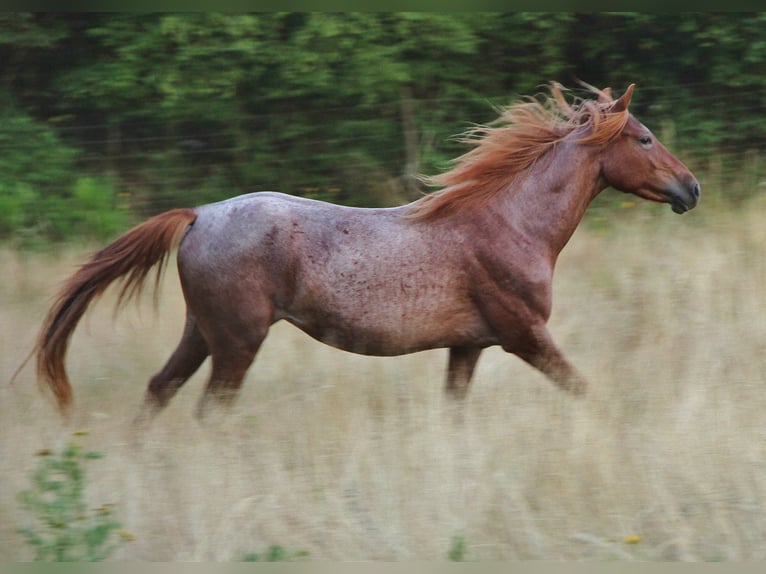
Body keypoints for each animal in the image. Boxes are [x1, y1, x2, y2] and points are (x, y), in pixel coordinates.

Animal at [30, 83, 700, 421]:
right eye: (644, 138)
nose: (691, 188)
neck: (511, 223)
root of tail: (199, 215)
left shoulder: (469, 346)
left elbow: (454, 413)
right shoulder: (524, 335)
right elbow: (584, 390)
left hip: (205, 330)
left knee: (158, 389)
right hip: (238, 341)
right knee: (208, 410)